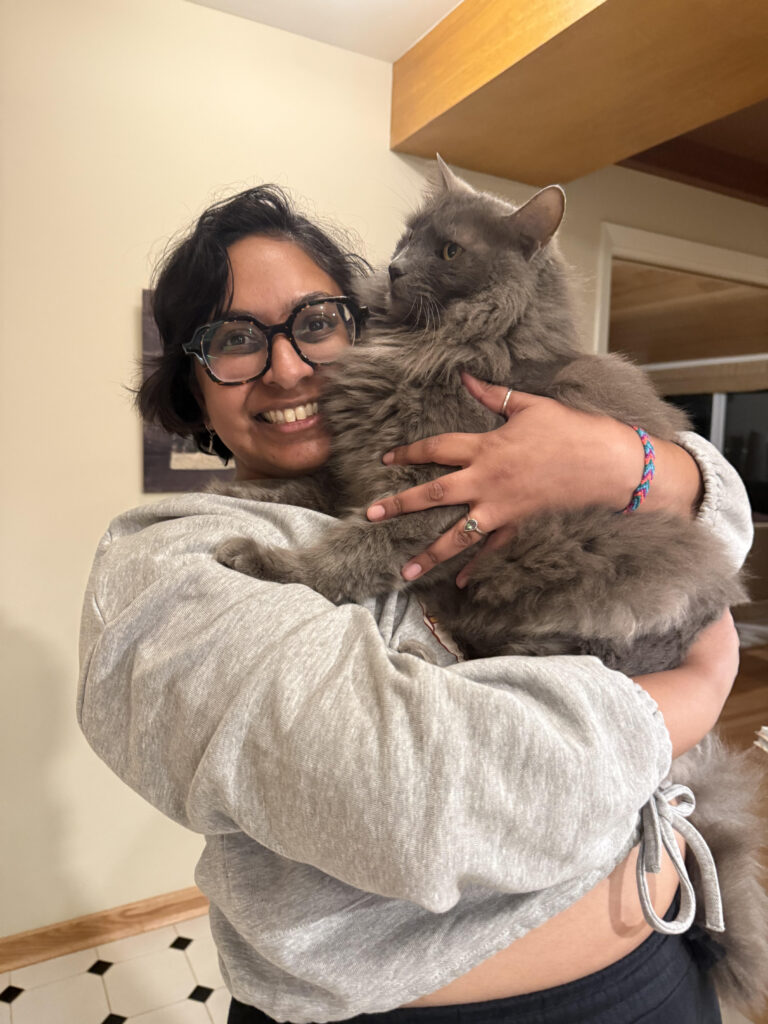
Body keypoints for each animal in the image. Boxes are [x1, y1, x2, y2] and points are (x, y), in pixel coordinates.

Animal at [213, 157, 745, 676]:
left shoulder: (433, 497)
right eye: (408, 237)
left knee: (554, 655)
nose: (395, 268)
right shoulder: (361, 472)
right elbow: (307, 487)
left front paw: (266, 562)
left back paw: (426, 654)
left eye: (450, 251)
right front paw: (235, 490)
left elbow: (351, 553)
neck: (430, 343)